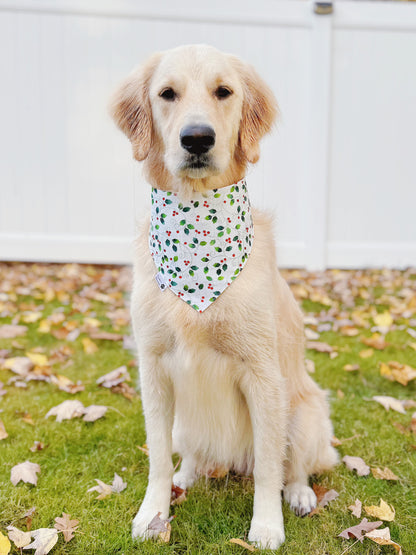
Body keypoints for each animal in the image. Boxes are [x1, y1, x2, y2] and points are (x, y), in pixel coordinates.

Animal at [110, 44, 338, 552]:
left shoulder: (262, 373)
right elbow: (157, 458)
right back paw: (189, 475)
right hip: (185, 420)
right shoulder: (153, 367)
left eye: (224, 92)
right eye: (167, 93)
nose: (197, 139)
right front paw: (152, 514)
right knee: (192, 453)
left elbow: (270, 467)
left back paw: (299, 495)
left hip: (306, 412)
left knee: (295, 466)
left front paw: (267, 525)